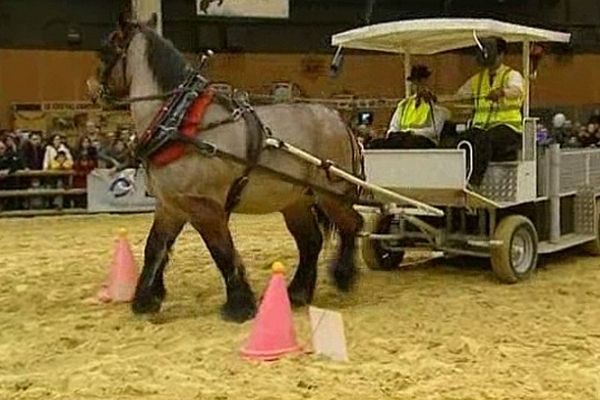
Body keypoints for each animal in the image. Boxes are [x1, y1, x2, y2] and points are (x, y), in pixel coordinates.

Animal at [96, 14, 364, 322]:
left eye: (105, 51)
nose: (93, 90)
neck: (180, 122)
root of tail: (339, 120)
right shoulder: (171, 205)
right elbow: (155, 248)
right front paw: (144, 300)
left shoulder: (205, 207)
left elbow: (221, 251)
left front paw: (239, 305)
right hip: (295, 200)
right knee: (311, 242)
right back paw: (297, 293)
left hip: (331, 194)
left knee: (352, 225)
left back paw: (343, 275)